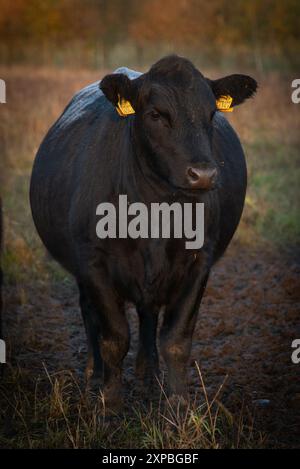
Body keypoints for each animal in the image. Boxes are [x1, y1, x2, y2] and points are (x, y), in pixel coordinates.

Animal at [29, 54, 255, 406]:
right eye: (155, 114)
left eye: (212, 114)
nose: (203, 174)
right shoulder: (93, 263)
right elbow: (114, 338)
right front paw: (109, 404)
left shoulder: (199, 261)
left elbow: (176, 340)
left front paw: (178, 406)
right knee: (89, 313)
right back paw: (95, 374)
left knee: (148, 314)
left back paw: (149, 376)